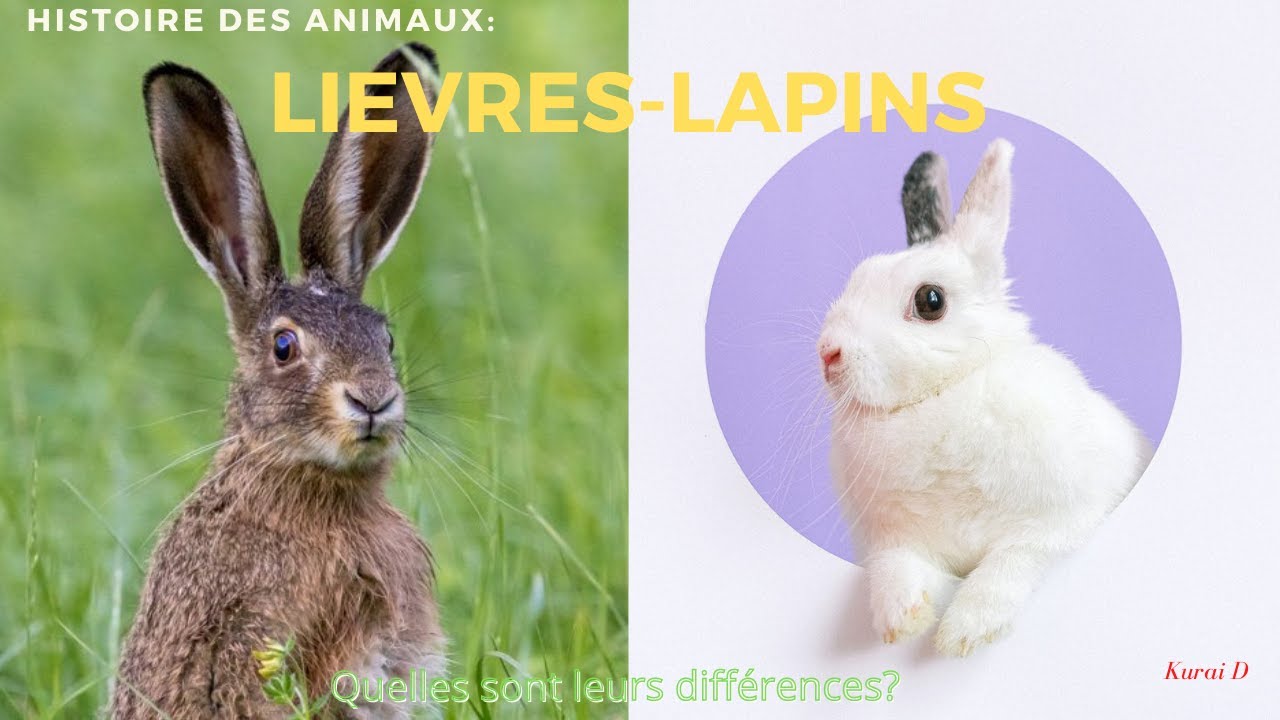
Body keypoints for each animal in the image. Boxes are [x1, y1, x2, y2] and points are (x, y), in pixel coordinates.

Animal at [817, 139, 1152, 657]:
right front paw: (900, 620)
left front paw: (964, 632)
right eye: (858, 277)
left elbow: (1010, 564)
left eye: (930, 301)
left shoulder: (1061, 521)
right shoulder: (892, 539)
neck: (943, 394)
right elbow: (896, 567)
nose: (827, 353)